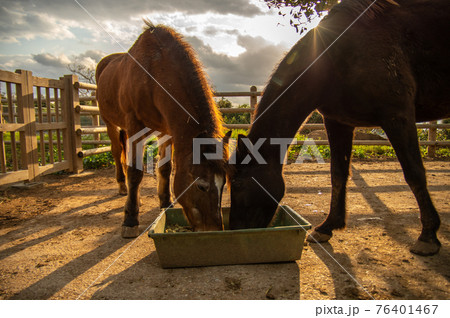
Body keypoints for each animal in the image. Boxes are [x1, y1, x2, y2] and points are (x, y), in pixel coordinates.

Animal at [95, 23, 229, 237]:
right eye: (201, 186)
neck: (154, 72)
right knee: (117, 153)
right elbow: (135, 172)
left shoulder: (166, 131)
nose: (213, 230)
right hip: (110, 122)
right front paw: (130, 220)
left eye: (223, 183)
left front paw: (165, 203)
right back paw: (123, 187)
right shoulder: (135, 125)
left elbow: (165, 167)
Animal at [230, 0, 448, 256]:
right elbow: (338, 174)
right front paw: (327, 226)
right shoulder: (338, 122)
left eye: (238, 183)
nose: (235, 233)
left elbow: (415, 173)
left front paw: (428, 236)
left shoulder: (398, 116)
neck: (336, 55)